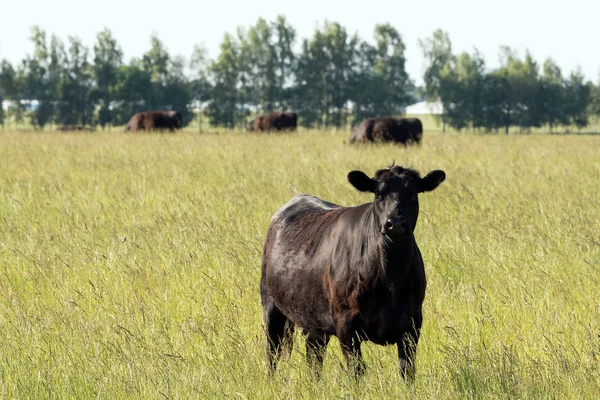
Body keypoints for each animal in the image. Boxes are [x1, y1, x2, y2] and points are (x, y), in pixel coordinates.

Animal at [260, 162, 448, 378]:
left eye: (412, 193)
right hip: (271, 306)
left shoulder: (412, 323)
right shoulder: (346, 324)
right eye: (378, 193)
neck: (391, 278)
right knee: (272, 352)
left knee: (313, 357)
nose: (395, 224)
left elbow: (406, 369)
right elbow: (356, 369)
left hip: (314, 321)